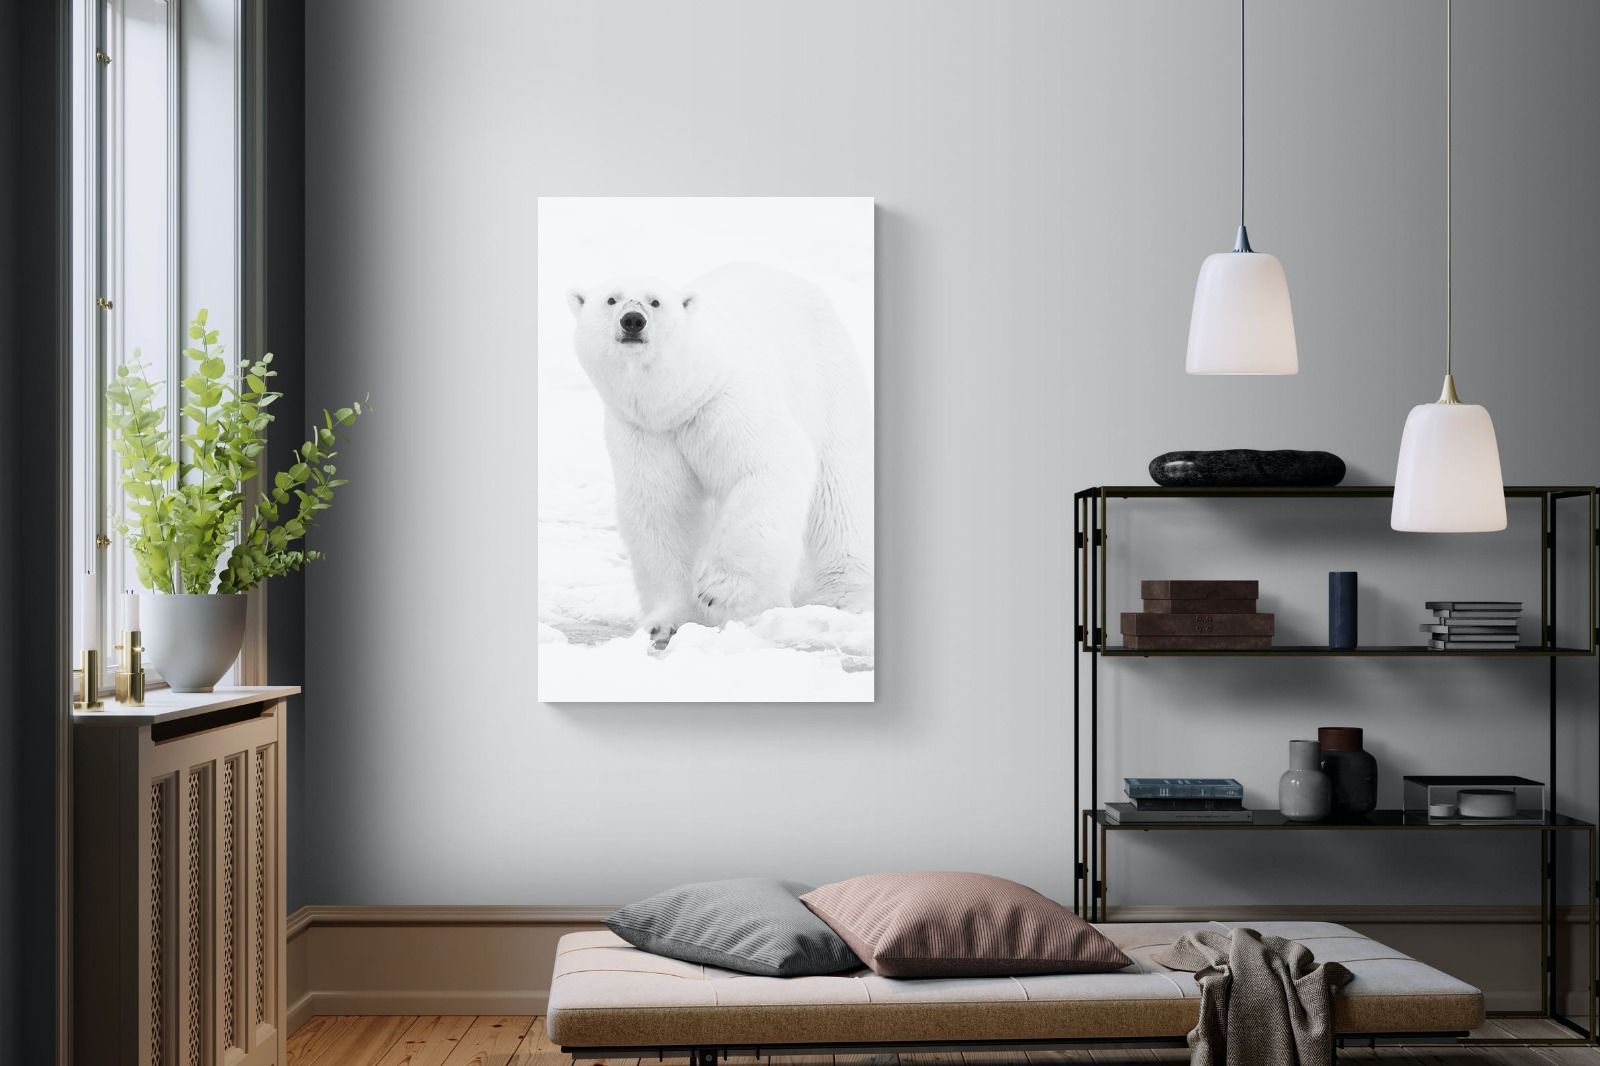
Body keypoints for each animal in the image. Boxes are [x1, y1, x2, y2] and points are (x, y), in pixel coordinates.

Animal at [567, 262, 873, 649]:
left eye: (655, 301)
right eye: (611, 299)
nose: (633, 321)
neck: (679, 400)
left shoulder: (724, 403)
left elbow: (767, 465)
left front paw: (719, 591)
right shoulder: (645, 432)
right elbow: (662, 509)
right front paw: (666, 622)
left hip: (829, 381)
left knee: (839, 489)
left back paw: (839, 596)